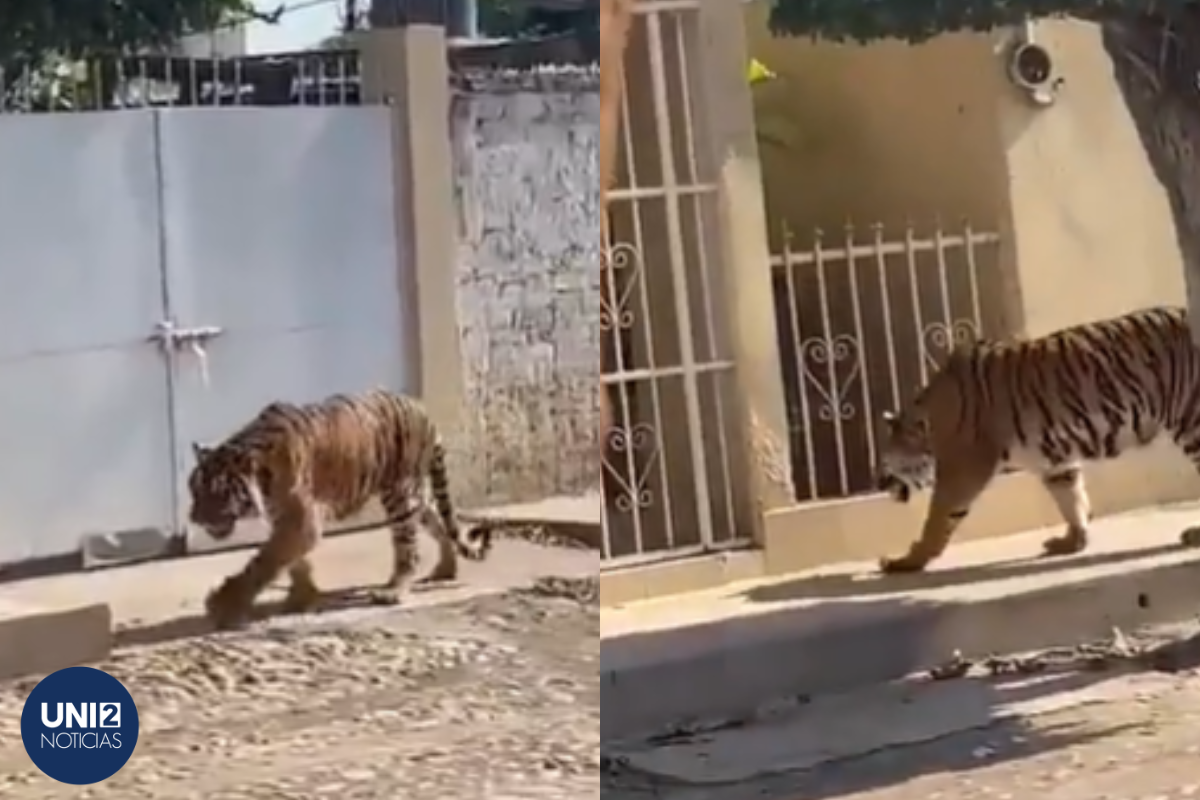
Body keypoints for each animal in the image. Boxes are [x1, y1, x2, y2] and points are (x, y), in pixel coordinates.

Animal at [187, 388, 492, 633]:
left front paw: (224, 604)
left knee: (408, 548)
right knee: (439, 522)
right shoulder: (286, 520)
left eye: (216, 493)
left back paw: (392, 592)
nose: (193, 518)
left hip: (400, 494)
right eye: (193, 488)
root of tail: (421, 408)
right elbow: (291, 561)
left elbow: (264, 562)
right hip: (415, 496)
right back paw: (446, 570)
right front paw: (302, 597)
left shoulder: (300, 520)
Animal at [873, 307, 1200, 575]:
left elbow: (937, 518)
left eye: (884, 459)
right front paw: (1073, 541)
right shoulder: (1056, 460)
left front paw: (906, 561)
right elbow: (1071, 498)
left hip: (1191, 421)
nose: (879, 482)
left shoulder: (964, 468)